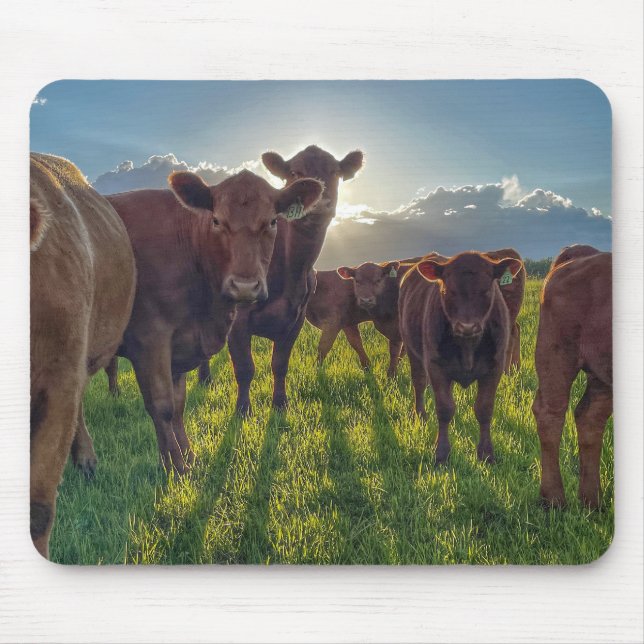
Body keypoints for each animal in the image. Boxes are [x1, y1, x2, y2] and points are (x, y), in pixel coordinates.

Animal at [103, 169, 324, 473]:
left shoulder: (181, 343)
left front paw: (188, 457)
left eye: (272, 221)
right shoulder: (149, 340)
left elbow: (179, 405)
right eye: (217, 220)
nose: (245, 287)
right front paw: (176, 467)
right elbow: (162, 406)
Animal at [198, 145, 364, 416]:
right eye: (295, 172)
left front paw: (280, 404)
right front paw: (243, 410)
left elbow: (280, 364)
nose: (321, 203)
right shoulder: (240, 317)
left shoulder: (296, 318)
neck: (291, 268)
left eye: (335, 172)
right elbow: (244, 368)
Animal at [399, 251, 524, 464]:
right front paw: (441, 453)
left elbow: (484, 409)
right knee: (419, 383)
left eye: (487, 290)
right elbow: (445, 409)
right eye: (448, 290)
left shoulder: (494, 368)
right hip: (412, 351)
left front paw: (486, 454)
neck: (468, 346)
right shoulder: (436, 367)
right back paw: (420, 415)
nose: (467, 326)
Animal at [532, 247, 612, 508]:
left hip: (602, 374)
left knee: (590, 416)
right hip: (557, 355)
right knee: (550, 413)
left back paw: (592, 501)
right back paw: (554, 499)